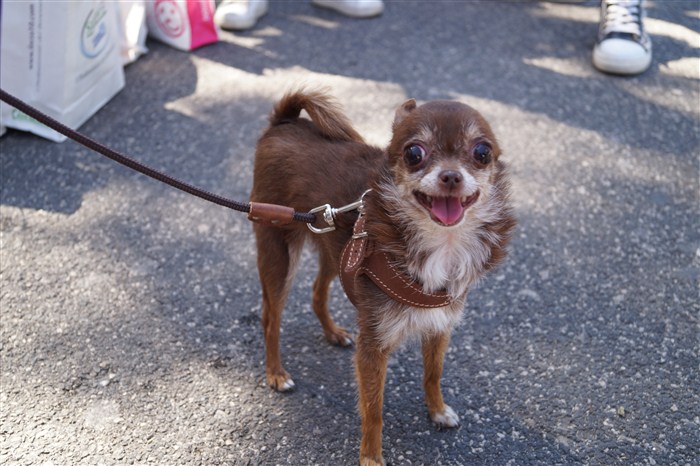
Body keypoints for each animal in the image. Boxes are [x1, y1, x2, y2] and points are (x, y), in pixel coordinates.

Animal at [249, 89, 515, 465]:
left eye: (482, 152)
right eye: (414, 153)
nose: (451, 176)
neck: (441, 243)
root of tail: (284, 121)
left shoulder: (440, 325)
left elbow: (433, 373)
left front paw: (437, 410)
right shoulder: (373, 346)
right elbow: (373, 409)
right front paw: (371, 458)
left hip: (335, 249)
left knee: (317, 292)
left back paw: (333, 332)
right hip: (278, 251)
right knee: (271, 317)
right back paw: (276, 373)